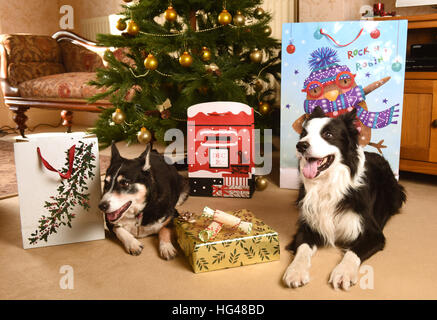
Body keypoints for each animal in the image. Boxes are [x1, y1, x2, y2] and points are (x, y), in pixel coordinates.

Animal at [282, 107, 406, 290]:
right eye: (304, 134)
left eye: (328, 134)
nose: (301, 145)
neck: (328, 185)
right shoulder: (308, 225)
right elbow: (302, 249)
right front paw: (295, 271)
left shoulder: (373, 233)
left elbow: (353, 252)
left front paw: (344, 272)